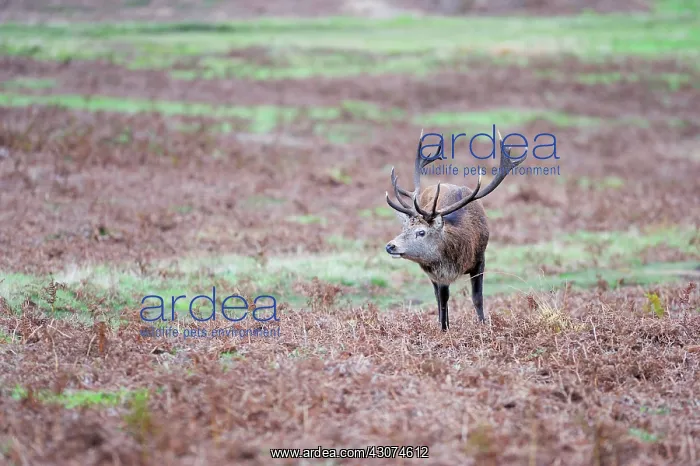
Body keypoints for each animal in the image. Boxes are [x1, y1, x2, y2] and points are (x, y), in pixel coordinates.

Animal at [384, 129, 525, 331]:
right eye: (404, 227)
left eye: (421, 232)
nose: (390, 246)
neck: (460, 256)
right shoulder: (438, 273)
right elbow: (443, 300)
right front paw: (444, 329)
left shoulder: (480, 259)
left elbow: (477, 298)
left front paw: (483, 326)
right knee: (438, 297)